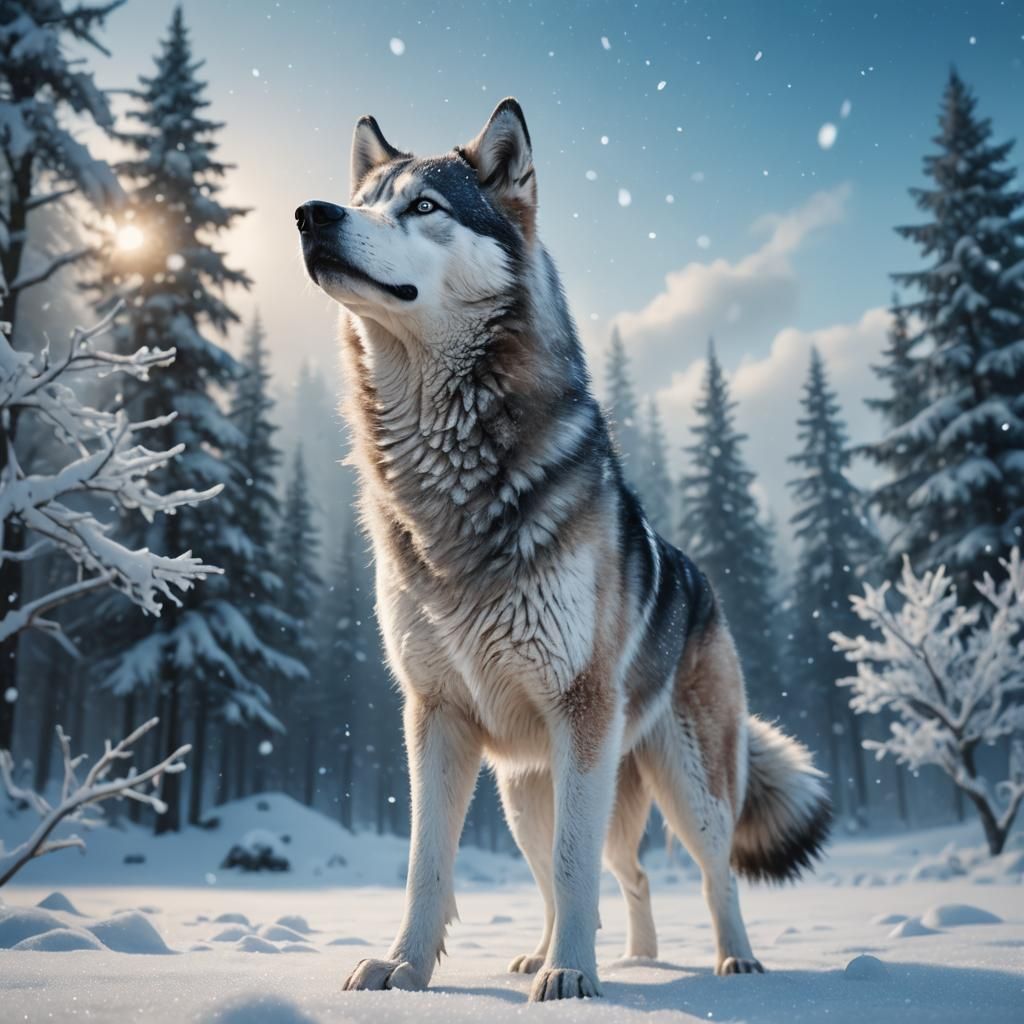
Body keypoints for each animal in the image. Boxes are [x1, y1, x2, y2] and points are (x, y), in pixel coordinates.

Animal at [296, 98, 830, 1002]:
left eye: (422, 207)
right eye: (365, 199)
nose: (311, 214)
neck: (448, 480)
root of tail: (704, 582)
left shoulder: (580, 711)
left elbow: (581, 869)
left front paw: (573, 979)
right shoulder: (434, 717)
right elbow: (427, 866)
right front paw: (405, 969)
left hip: (677, 781)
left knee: (702, 872)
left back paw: (730, 962)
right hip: (527, 789)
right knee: (601, 875)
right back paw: (601, 956)